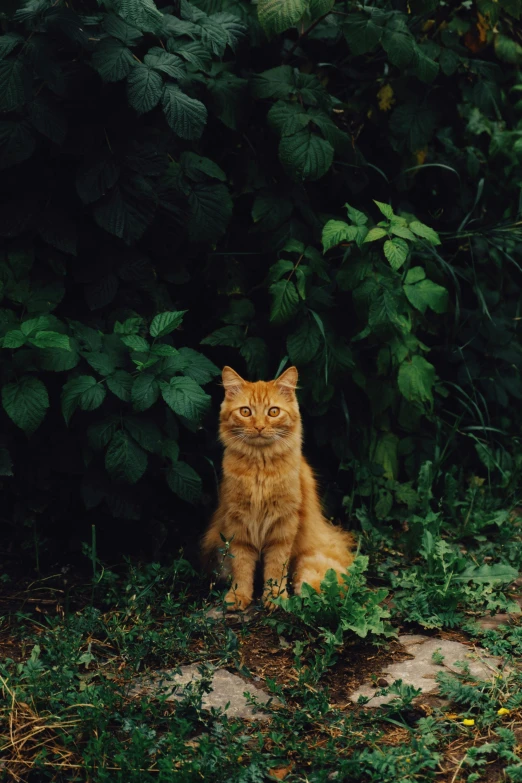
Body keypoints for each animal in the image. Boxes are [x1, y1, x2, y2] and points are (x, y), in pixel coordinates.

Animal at [199, 364, 354, 608]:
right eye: (246, 412)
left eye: (273, 412)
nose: (260, 427)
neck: (260, 471)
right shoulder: (238, 523)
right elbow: (241, 566)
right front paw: (239, 596)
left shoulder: (283, 524)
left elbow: (275, 568)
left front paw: (275, 597)